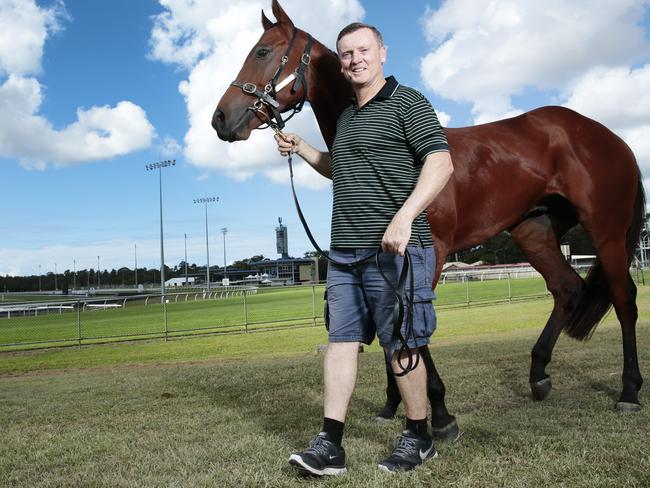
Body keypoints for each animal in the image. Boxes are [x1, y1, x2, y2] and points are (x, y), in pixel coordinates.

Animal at [211, 0, 644, 434]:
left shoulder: (425, 255)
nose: (220, 119)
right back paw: (538, 374)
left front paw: (439, 411)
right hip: (533, 233)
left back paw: (629, 390)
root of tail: (609, 136)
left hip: (606, 230)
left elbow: (410, 329)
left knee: (624, 299)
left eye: (262, 52)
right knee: (566, 289)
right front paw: (393, 403)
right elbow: (390, 331)